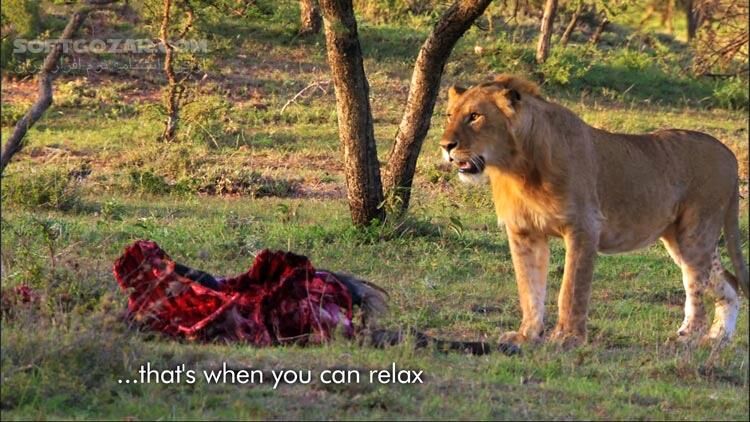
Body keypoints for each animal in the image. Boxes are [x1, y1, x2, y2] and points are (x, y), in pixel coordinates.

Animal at [439, 74, 749, 347]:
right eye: (449, 115)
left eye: (475, 116)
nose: (445, 146)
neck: (517, 168)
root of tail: (729, 154)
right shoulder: (524, 232)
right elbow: (529, 288)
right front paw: (527, 335)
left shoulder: (584, 226)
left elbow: (572, 289)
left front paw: (567, 338)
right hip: (681, 239)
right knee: (728, 284)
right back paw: (717, 339)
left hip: (696, 232)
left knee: (697, 287)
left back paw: (688, 338)